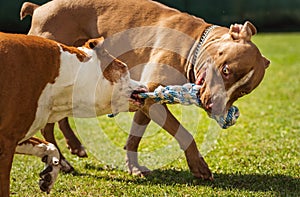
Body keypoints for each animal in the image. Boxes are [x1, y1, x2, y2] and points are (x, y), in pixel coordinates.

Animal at [0, 33, 146, 196]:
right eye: (124, 67)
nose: (145, 85)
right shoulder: (5, 143)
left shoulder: (15, 136)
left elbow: (50, 146)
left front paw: (50, 173)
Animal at [19, 0, 270, 182]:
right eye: (226, 70)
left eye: (243, 92)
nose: (215, 108)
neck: (194, 44)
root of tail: (39, 8)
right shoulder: (151, 97)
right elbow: (184, 134)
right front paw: (198, 166)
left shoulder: (145, 98)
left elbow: (134, 137)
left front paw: (133, 167)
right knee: (48, 127)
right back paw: (62, 161)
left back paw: (74, 146)